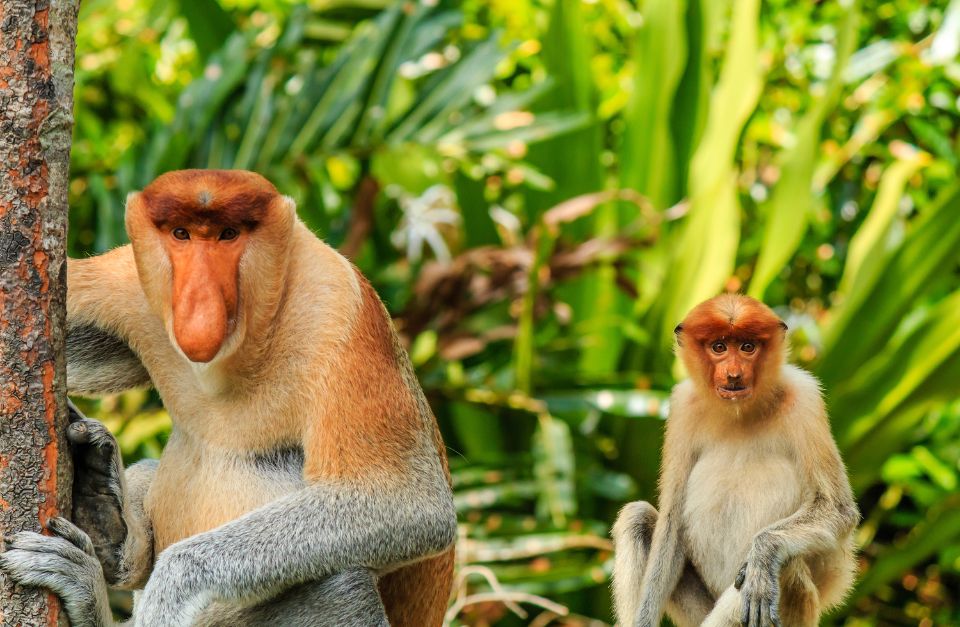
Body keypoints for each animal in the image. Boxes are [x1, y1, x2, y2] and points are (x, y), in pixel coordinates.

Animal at [0, 170, 457, 627]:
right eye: (181, 234)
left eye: (228, 235)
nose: (199, 303)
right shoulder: (127, 279)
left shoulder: (336, 309)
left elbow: (413, 504)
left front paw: (171, 586)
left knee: (345, 585)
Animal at [611, 294, 858, 627]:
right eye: (719, 347)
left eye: (747, 347)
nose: (733, 375)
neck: (740, 413)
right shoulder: (683, 407)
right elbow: (671, 528)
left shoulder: (804, 399)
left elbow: (838, 509)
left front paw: (763, 556)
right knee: (636, 517)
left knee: (787, 563)